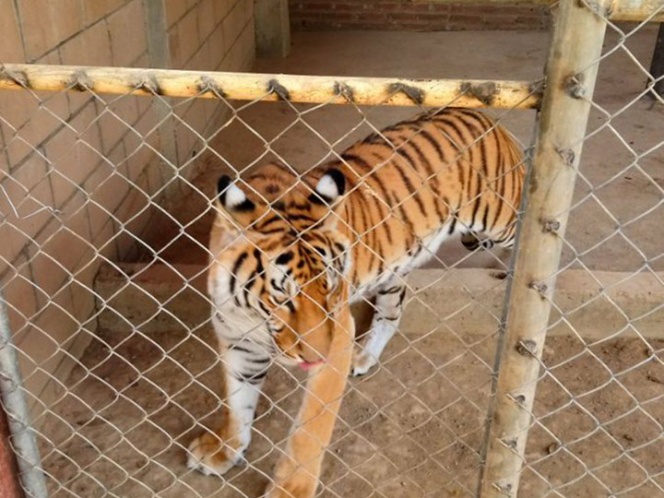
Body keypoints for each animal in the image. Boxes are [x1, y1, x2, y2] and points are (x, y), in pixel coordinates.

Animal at [186, 107, 525, 497]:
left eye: (329, 287)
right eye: (283, 295)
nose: (315, 356)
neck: (251, 315)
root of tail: (484, 115)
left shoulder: (338, 336)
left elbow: (309, 431)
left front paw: (290, 490)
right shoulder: (237, 339)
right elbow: (236, 403)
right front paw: (223, 450)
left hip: (498, 219)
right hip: (396, 268)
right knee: (392, 314)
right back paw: (364, 356)